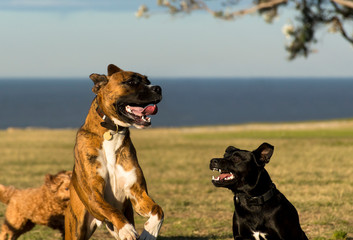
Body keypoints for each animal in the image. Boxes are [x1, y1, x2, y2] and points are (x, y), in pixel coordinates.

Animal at [64, 64, 164, 240]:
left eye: (148, 81)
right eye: (131, 82)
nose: (158, 88)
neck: (113, 131)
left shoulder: (137, 193)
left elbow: (158, 210)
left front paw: (149, 232)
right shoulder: (94, 194)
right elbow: (113, 210)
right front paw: (127, 229)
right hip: (76, 228)